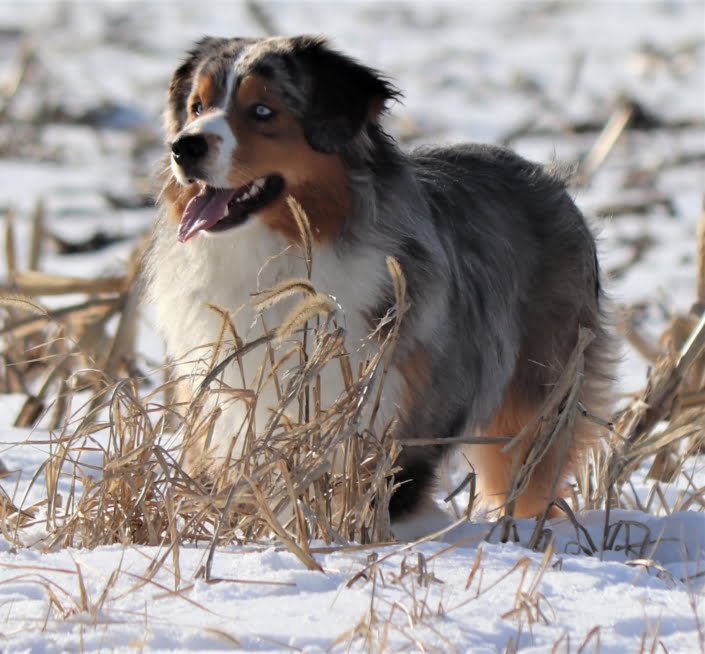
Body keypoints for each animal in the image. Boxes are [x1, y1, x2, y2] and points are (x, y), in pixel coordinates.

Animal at [146, 33, 612, 540]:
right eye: (197, 106)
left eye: (263, 111)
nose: (183, 147)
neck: (276, 254)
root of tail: (546, 178)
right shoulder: (227, 410)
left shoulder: (393, 418)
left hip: (536, 398)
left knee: (531, 478)